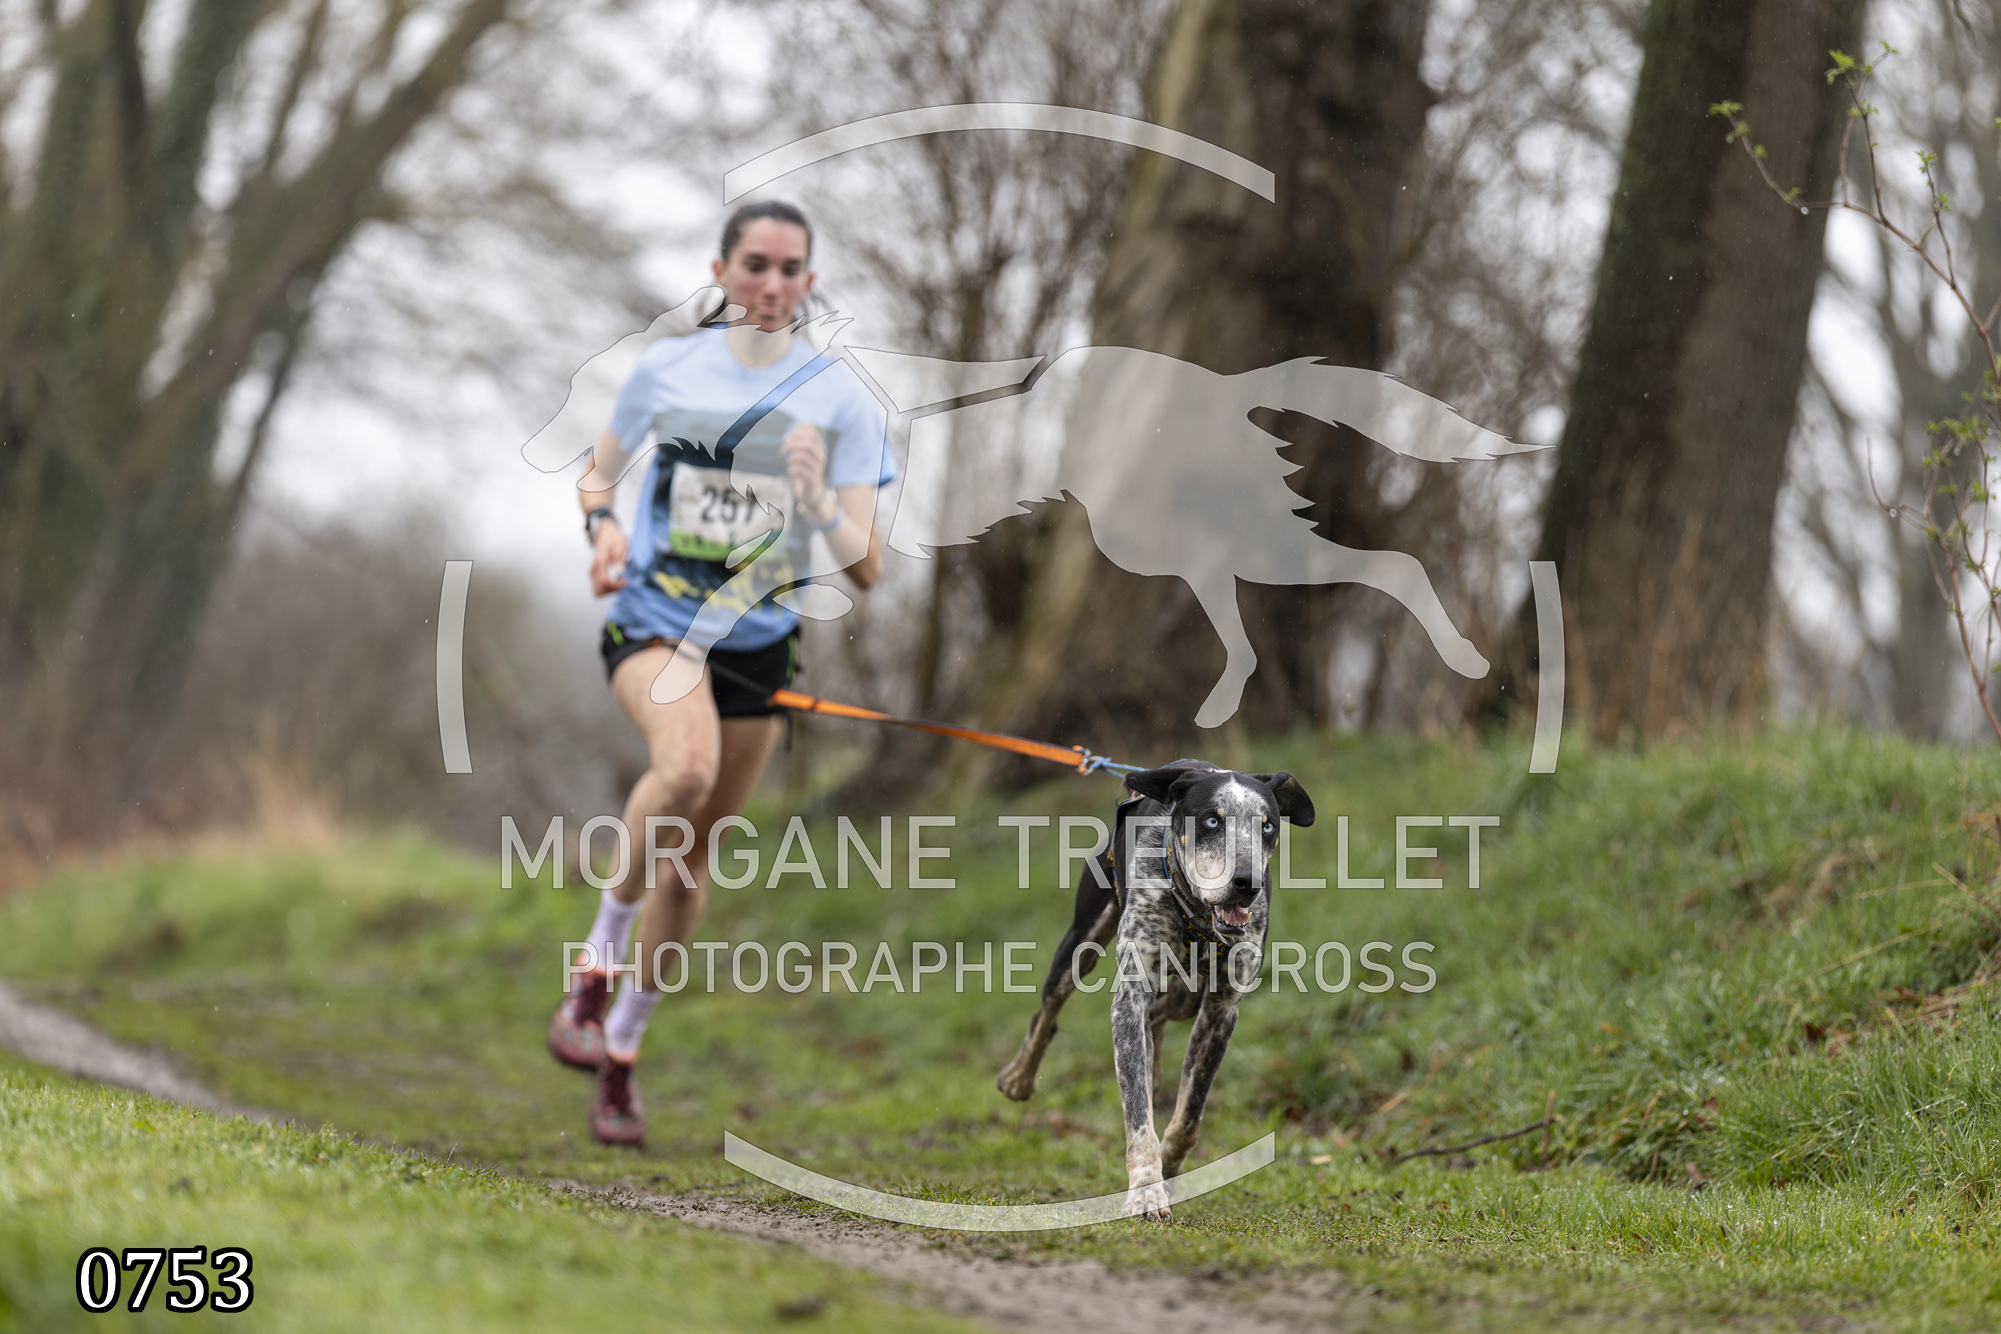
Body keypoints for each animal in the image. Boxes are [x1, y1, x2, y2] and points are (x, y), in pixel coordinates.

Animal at [996, 760, 1315, 1220]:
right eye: (1211, 820)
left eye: (1268, 825)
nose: (1247, 882)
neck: (1196, 917)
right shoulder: (1130, 997)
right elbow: (1137, 1110)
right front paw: (1147, 1190)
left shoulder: (1220, 1011)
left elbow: (1189, 1116)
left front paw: (1169, 1168)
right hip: (1080, 943)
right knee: (1048, 1012)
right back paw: (1019, 1077)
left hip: (1185, 997)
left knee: (1161, 1016)